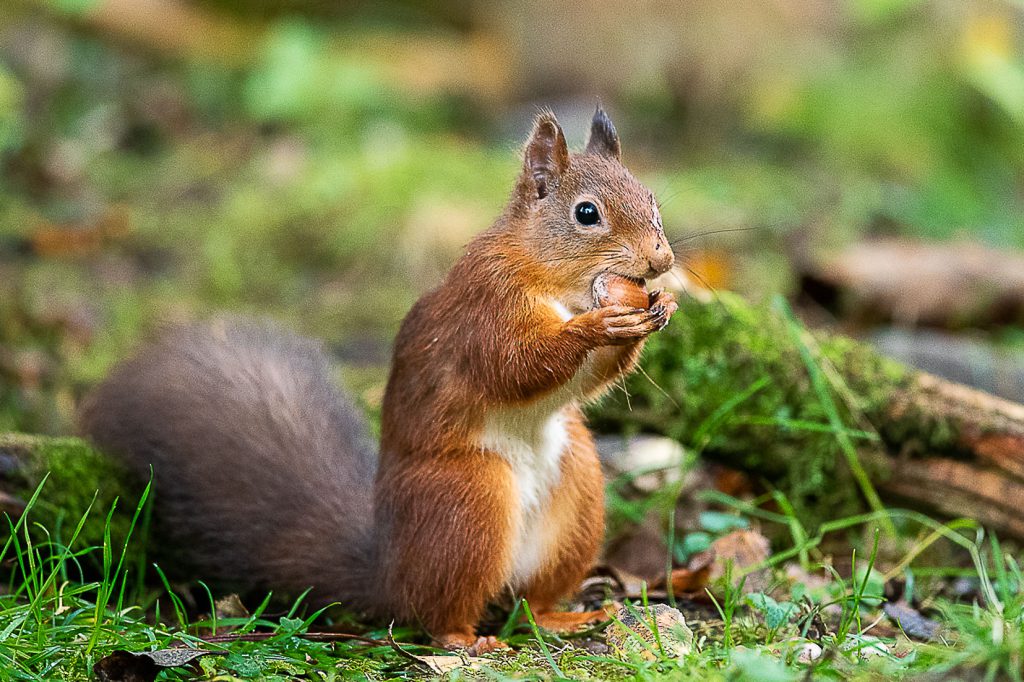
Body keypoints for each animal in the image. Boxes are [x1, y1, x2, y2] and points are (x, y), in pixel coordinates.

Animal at [77, 109, 671, 651]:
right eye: (586, 213)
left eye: (652, 200)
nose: (661, 260)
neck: (557, 282)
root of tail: (390, 571)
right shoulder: (485, 307)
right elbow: (514, 365)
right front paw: (598, 326)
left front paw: (658, 310)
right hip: (470, 502)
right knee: (438, 611)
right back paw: (468, 639)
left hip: (577, 493)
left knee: (530, 601)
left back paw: (562, 617)